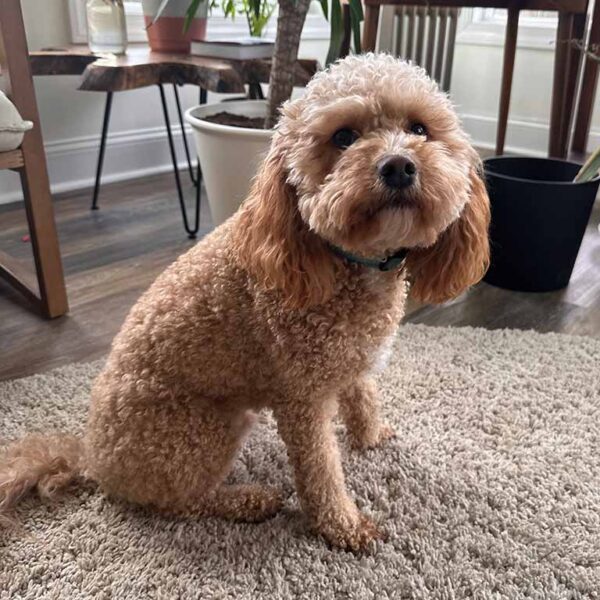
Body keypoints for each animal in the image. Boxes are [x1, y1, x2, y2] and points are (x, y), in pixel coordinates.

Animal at [0, 54, 488, 552]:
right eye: (343, 137)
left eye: (420, 128)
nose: (398, 166)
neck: (348, 262)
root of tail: (93, 459)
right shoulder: (302, 399)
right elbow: (321, 470)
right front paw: (343, 526)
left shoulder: (352, 359)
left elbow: (364, 398)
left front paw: (370, 437)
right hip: (200, 431)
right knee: (179, 503)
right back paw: (247, 500)